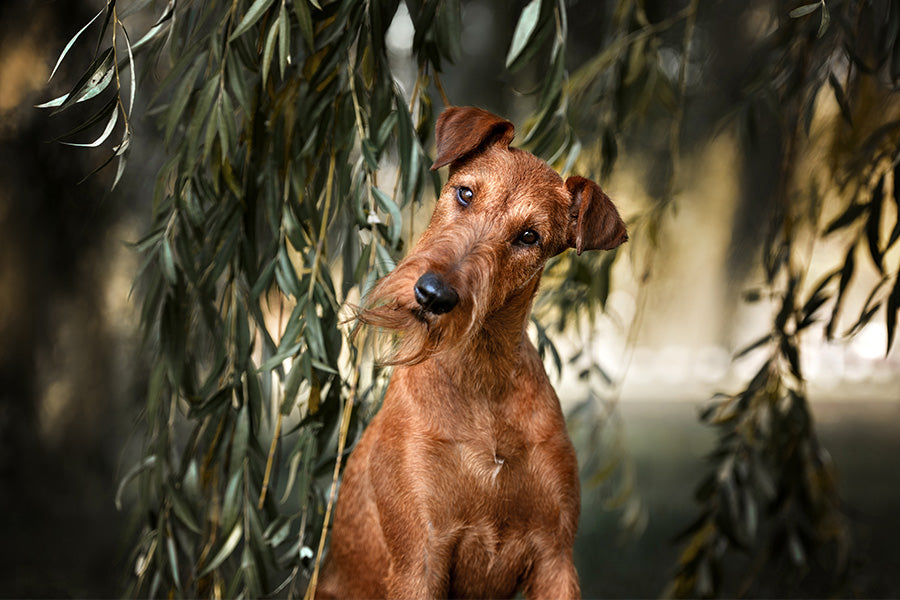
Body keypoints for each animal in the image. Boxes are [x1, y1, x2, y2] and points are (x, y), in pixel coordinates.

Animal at [316, 105, 624, 596]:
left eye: (529, 236)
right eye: (465, 193)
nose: (433, 294)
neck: (482, 377)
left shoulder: (555, 555)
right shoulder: (419, 557)